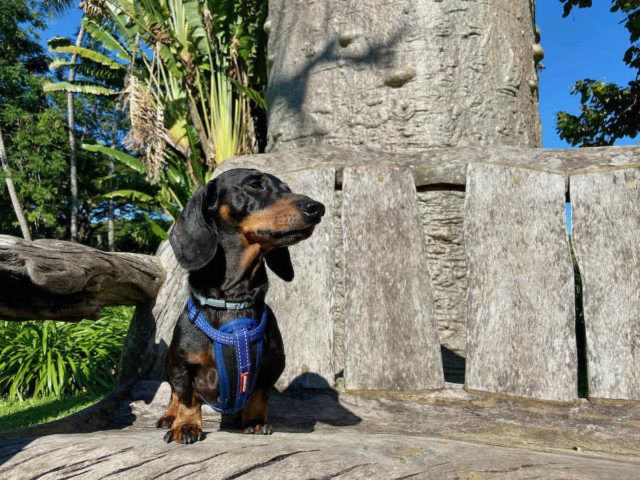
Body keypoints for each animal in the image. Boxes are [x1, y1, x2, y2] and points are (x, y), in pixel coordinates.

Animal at [156, 168, 324, 442]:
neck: (232, 302)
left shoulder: (272, 365)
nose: (317, 208)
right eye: (255, 184)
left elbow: (258, 395)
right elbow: (187, 397)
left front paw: (255, 421)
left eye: (287, 189)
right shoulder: (180, 364)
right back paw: (170, 416)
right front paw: (186, 425)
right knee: (174, 393)